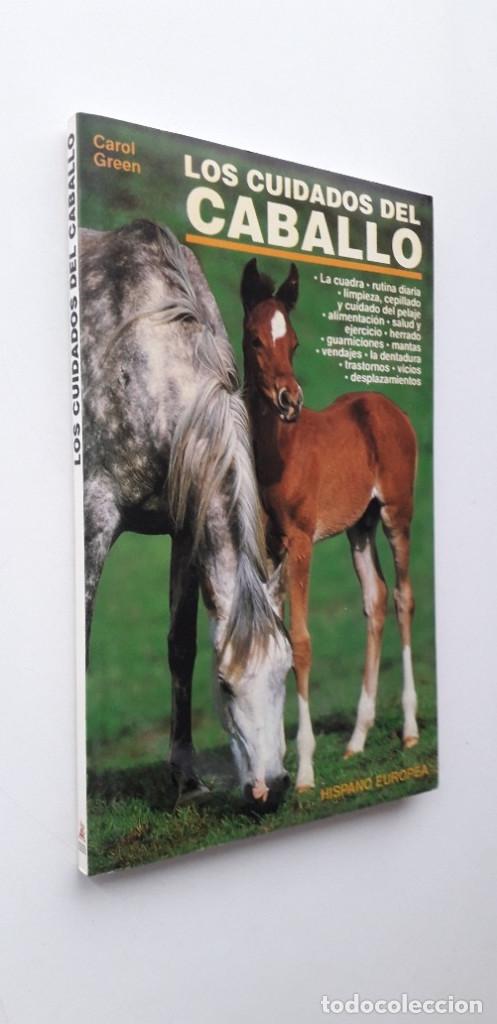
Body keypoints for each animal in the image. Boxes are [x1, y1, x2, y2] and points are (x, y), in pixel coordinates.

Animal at [79, 220, 292, 807]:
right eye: (225, 685)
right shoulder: (94, 522)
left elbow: (180, 647)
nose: (273, 790)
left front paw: (187, 777)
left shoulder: (184, 527)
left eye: (286, 673)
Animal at [241, 258, 419, 790]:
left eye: (295, 342)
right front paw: (272, 764)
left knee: (403, 598)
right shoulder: (269, 549)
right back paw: (358, 739)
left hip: (396, 514)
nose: (289, 400)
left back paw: (409, 729)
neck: (279, 454)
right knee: (374, 600)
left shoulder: (301, 543)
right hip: (360, 525)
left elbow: (300, 642)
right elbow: (276, 639)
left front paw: (303, 770)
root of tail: (386, 406)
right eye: (255, 339)